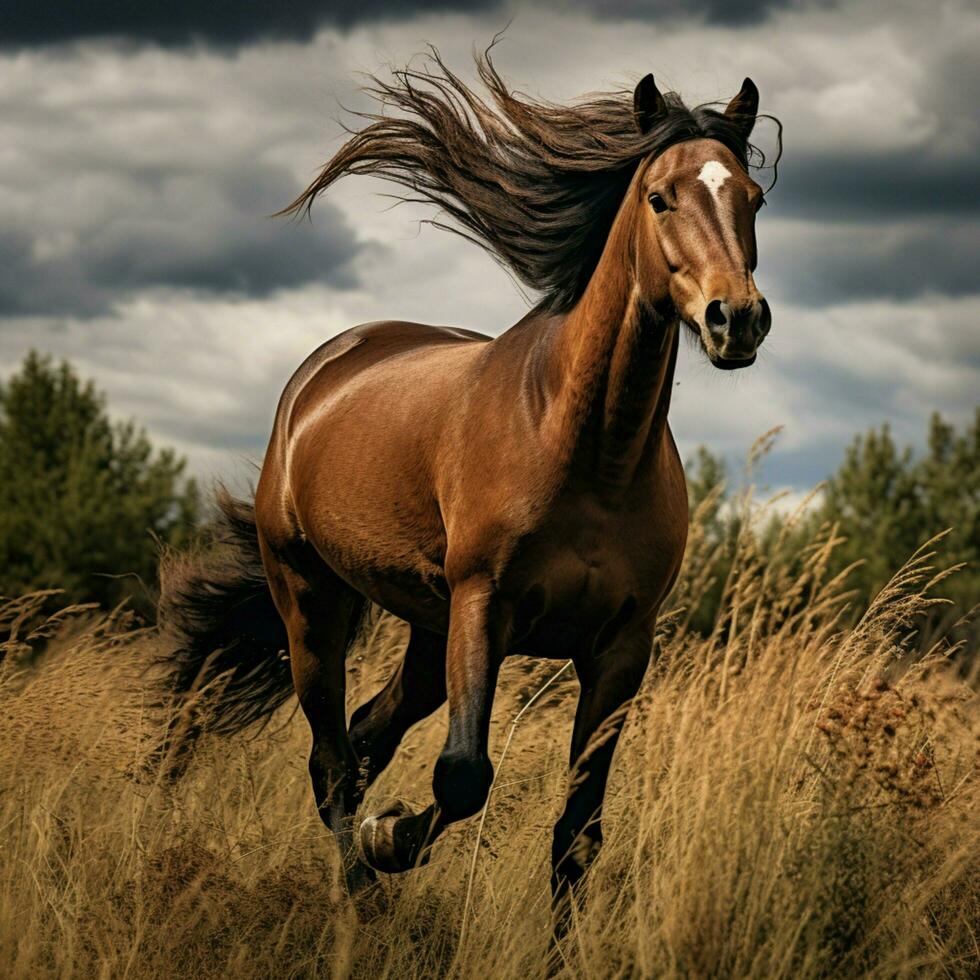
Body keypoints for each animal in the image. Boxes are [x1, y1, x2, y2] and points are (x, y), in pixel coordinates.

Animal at [161, 53, 780, 912]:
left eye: (752, 198)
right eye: (661, 196)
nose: (737, 320)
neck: (587, 451)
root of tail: (322, 372)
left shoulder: (621, 647)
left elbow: (577, 835)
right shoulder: (485, 603)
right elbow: (461, 777)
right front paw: (390, 840)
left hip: (427, 627)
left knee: (364, 736)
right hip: (313, 602)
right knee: (331, 760)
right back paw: (360, 888)